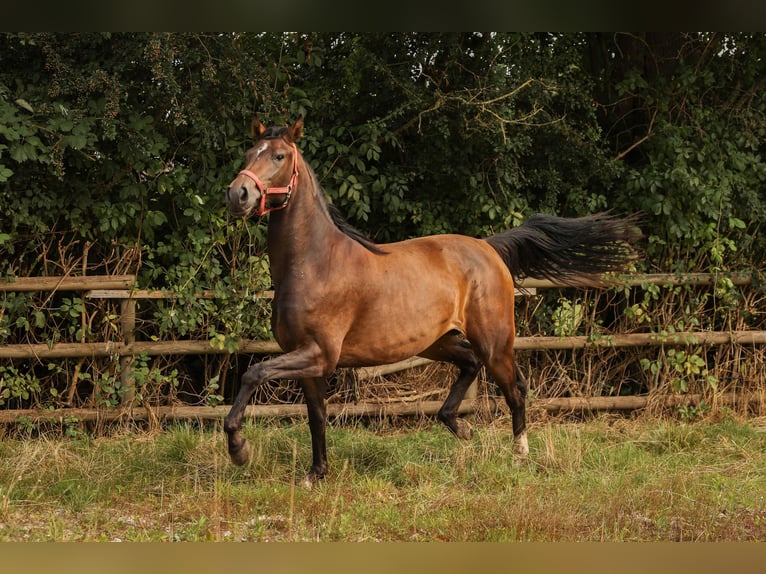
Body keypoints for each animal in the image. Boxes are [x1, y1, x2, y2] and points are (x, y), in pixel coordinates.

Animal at [224, 117, 640, 486]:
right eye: (248, 152)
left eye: (279, 156)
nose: (238, 194)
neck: (314, 262)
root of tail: (488, 247)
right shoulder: (310, 361)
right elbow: (316, 418)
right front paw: (315, 475)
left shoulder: (318, 354)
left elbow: (253, 373)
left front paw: (239, 449)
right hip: (438, 342)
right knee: (471, 365)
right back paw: (461, 427)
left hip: (495, 342)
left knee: (516, 388)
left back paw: (519, 453)